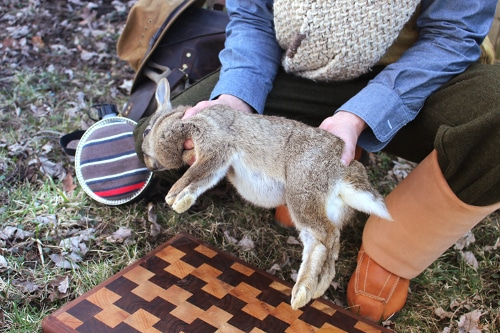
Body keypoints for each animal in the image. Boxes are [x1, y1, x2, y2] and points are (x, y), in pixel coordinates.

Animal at [141, 78, 390, 308]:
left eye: (146, 131)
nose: (148, 165)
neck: (177, 118)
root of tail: (344, 171)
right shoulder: (219, 162)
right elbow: (203, 178)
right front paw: (180, 201)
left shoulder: (213, 141)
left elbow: (195, 172)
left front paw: (173, 197)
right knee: (324, 243)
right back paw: (311, 290)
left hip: (303, 191)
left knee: (326, 236)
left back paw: (307, 291)